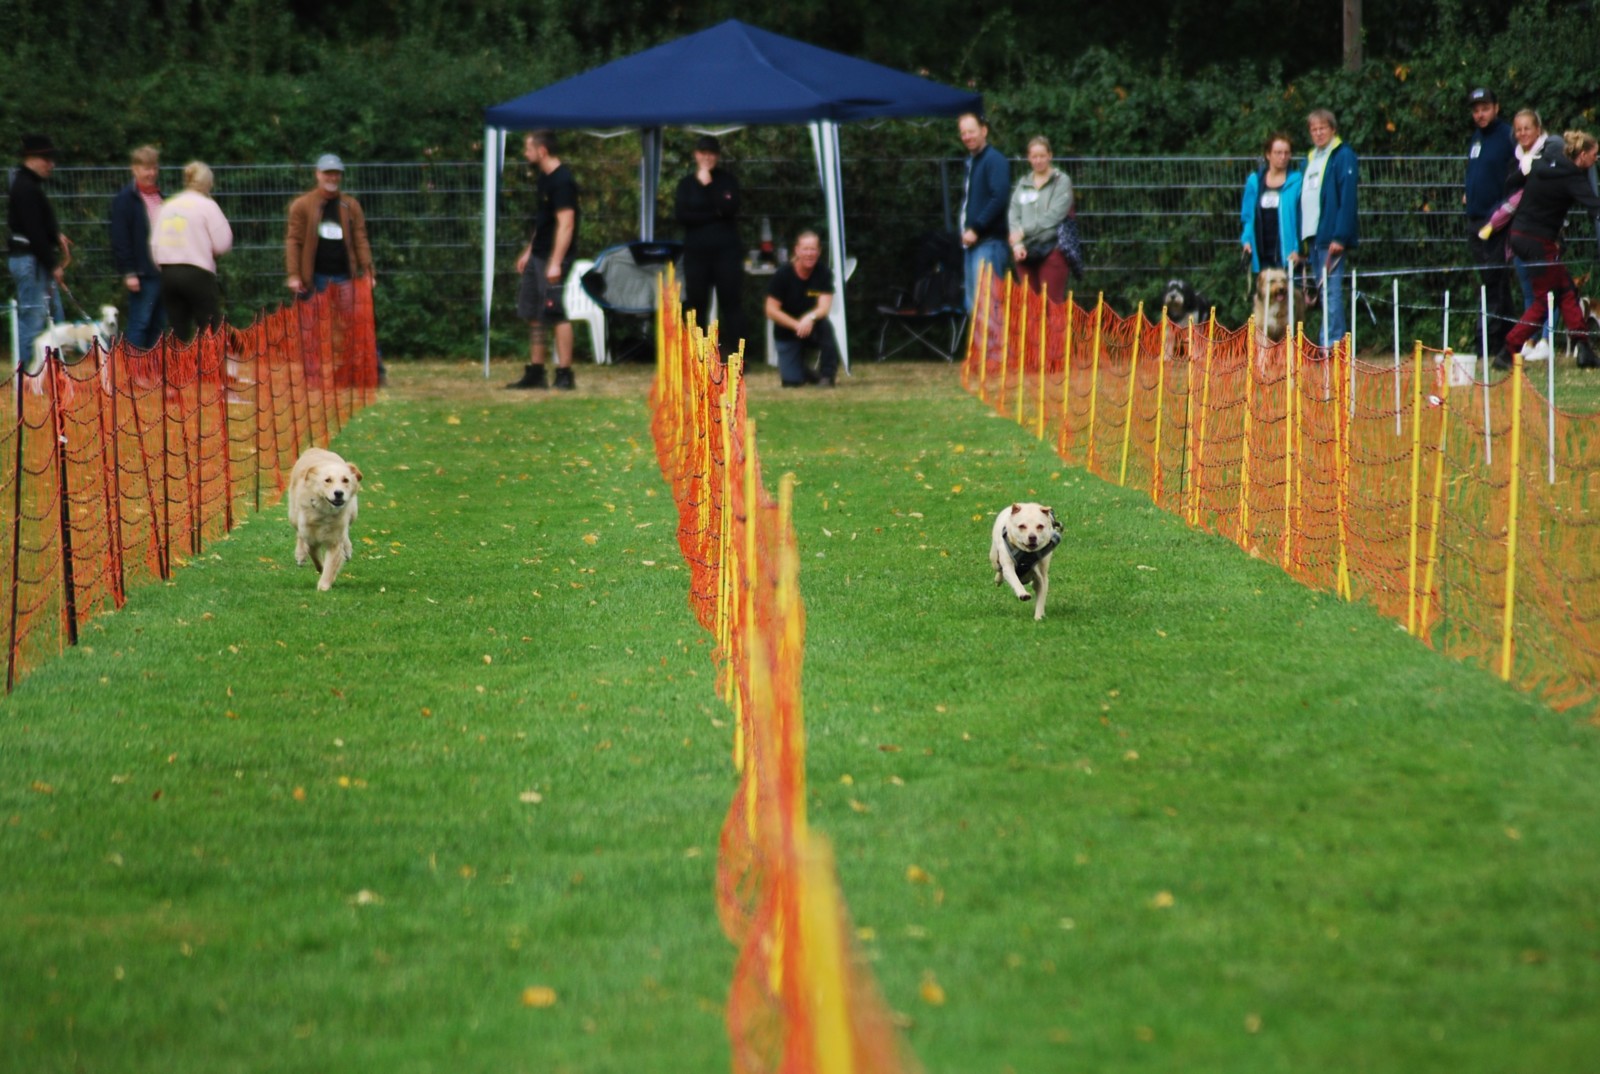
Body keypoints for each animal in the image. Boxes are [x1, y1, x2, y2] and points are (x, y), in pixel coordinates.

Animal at [287, 447, 363, 591]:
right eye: (327, 480)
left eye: (345, 480)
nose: (338, 493)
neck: (325, 512)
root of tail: (315, 449)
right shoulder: (311, 539)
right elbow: (317, 559)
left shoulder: (335, 541)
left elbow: (330, 565)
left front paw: (324, 585)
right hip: (293, 515)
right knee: (299, 533)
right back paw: (300, 555)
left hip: (353, 513)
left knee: (346, 532)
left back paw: (347, 549)